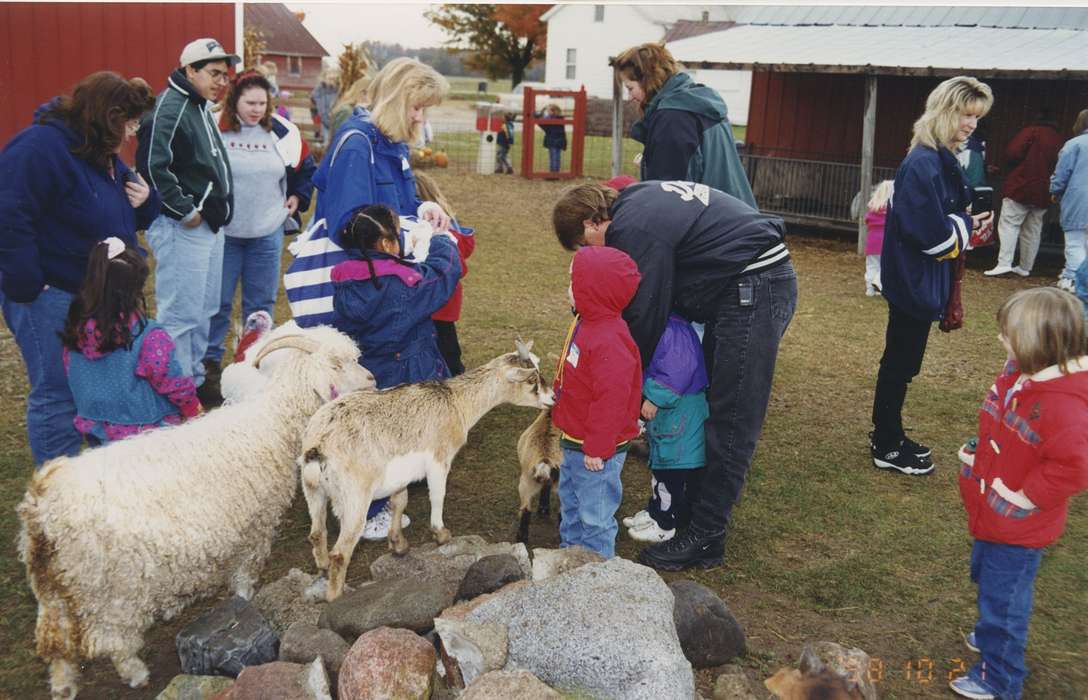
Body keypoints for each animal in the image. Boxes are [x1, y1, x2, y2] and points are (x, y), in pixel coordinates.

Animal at [14, 326, 374, 696]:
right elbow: (244, 572)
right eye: (336, 363)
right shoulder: (255, 527)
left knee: (54, 642)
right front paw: (243, 600)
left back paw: (63, 686)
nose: (372, 380)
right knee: (112, 639)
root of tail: (41, 502)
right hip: (111, 586)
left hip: (52, 585)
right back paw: (135, 672)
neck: (272, 424)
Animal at [298, 341, 552, 600]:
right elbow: (438, 495)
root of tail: (317, 447)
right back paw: (335, 597)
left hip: (313, 491)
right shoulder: (439, 460)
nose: (552, 397)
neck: (457, 402)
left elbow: (400, 502)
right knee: (340, 553)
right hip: (354, 498)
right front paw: (441, 534)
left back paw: (322, 567)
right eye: (531, 380)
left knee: (316, 533)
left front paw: (398, 545)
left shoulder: (400, 476)